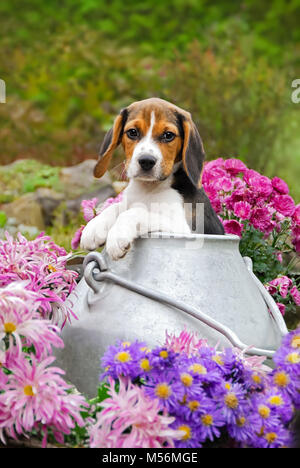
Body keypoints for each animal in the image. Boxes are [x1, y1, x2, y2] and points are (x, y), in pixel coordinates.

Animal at [81, 98, 224, 260]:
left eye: (168, 135)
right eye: (132, 132)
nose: (146, 161)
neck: (149, 188)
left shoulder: (183, 228)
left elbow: (135, 212)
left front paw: (117, 235)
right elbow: (116, 207)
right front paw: (94, 227)